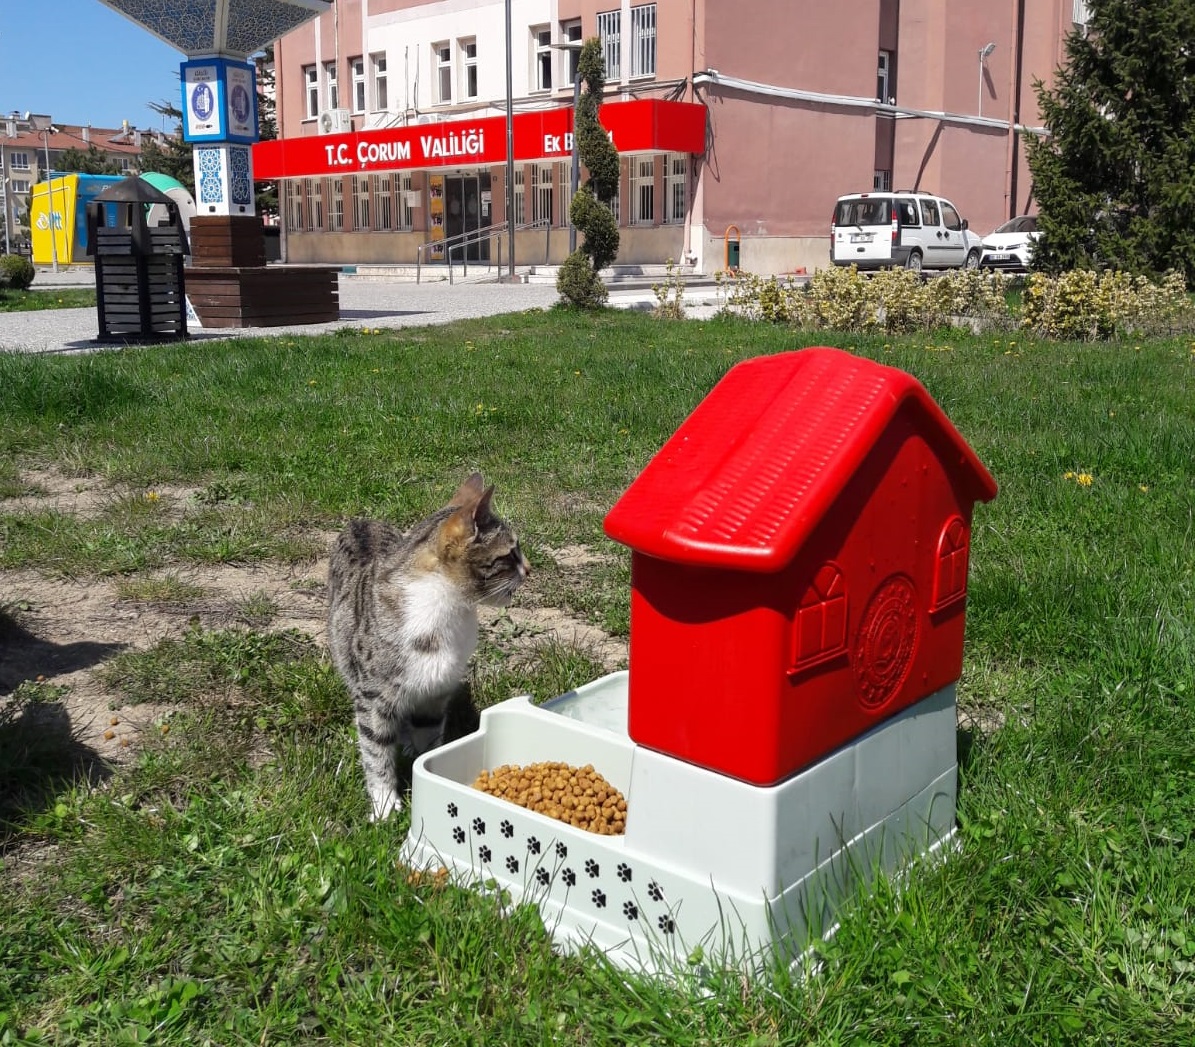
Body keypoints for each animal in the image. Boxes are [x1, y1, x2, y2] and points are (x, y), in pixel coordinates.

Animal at [329, 473, 530, 817]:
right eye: (509, 554)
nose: (529, 569)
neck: (448, 607)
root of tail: (361, 521)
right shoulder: (373, 697)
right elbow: (375, 750)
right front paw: (385, 805)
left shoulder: (437, 692)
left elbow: (429, 737)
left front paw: (427, 769)